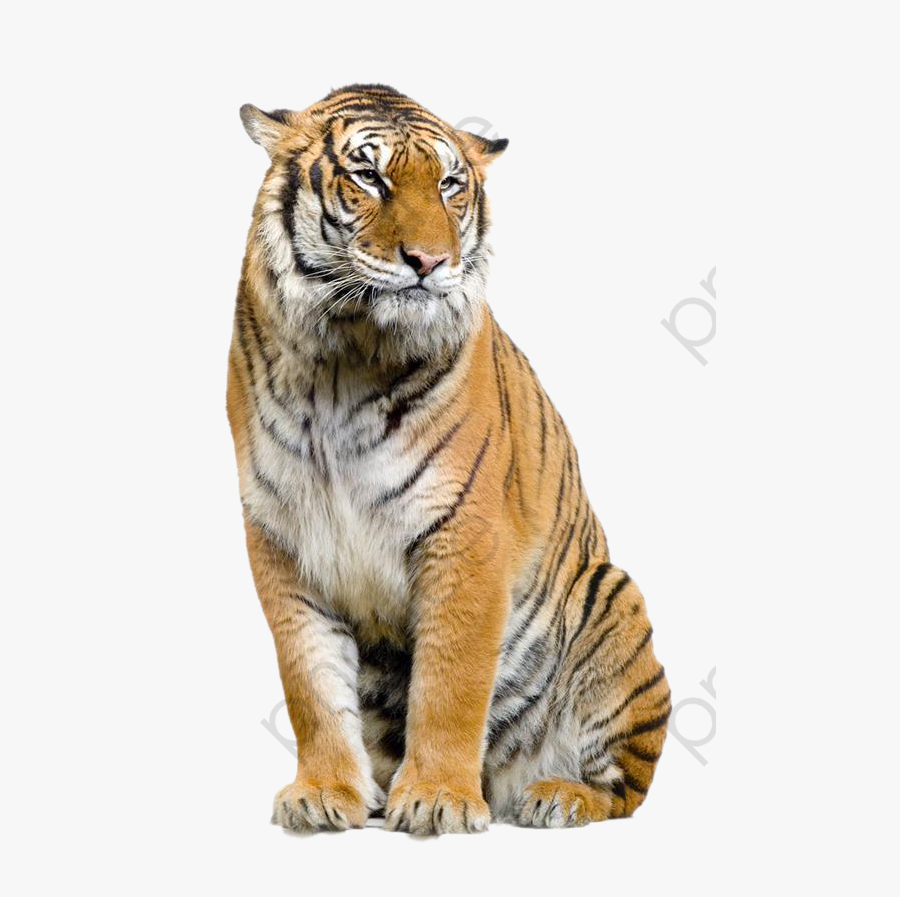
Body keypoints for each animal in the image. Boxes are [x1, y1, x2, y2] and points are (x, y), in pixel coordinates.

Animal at [227, 84, 670, 835]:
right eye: (369, 176)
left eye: (449, 184)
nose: (429, 262)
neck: (342, 359)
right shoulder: (282, 537)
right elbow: (310, 681)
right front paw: (323, 792)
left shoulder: (463, 532)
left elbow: (450, 681)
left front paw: (436, 797)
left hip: (613, 597)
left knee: (625, 788)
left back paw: (557, 795)